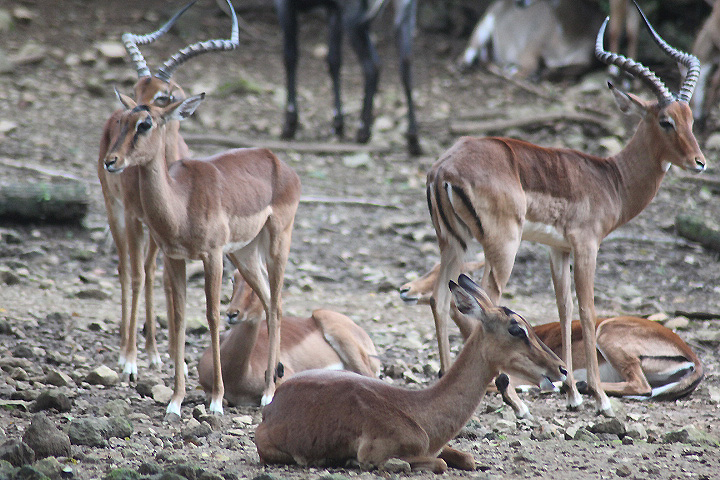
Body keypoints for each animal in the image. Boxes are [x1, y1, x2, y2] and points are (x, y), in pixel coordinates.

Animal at [98, 0, 238, 379]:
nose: (112, 160)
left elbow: (160, 283)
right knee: (127, 270)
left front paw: (174, 360)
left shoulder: (164, 233)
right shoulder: (135, 218)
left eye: (164, 96)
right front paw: (129, 360)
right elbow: (134, 276)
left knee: (148, 273)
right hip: (116, 211)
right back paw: (127, 348)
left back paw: (153, 352)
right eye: (136, 89)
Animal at [103, 89, 301, 416]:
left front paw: (217, 401)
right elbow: (179, 316)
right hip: (245, 254)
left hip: (277, 242)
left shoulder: (213, 256)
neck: (181, 202)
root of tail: (277, 161)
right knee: (269, 300)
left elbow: (213, 316)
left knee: (277, 306)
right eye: (122, 120)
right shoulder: (174, 258)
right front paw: (175, 401)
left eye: (145, 123)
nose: (111, 161)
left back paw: (268, 394)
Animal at [255, 275, 567, 473]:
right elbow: (439, 464)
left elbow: (466, 458)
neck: (419, 411)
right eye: (516, 328)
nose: (562, 368)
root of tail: (270, 409)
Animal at [274, 0, 421, 154]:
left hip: (355, 18)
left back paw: (363, 131)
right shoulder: (334, 10)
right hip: (403, 15)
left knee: (372, 65)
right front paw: (338, 124)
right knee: (405, 63)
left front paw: (289, 125)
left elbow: (290, 56)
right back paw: (413, 139)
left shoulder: (284, 4)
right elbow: (334, 60)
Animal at [460, 0, 604, 78]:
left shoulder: (587, 57)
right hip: (485, 22)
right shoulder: (530, 47)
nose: (519, 2)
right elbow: (533, 66)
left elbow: (578, 68)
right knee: (469, 53)